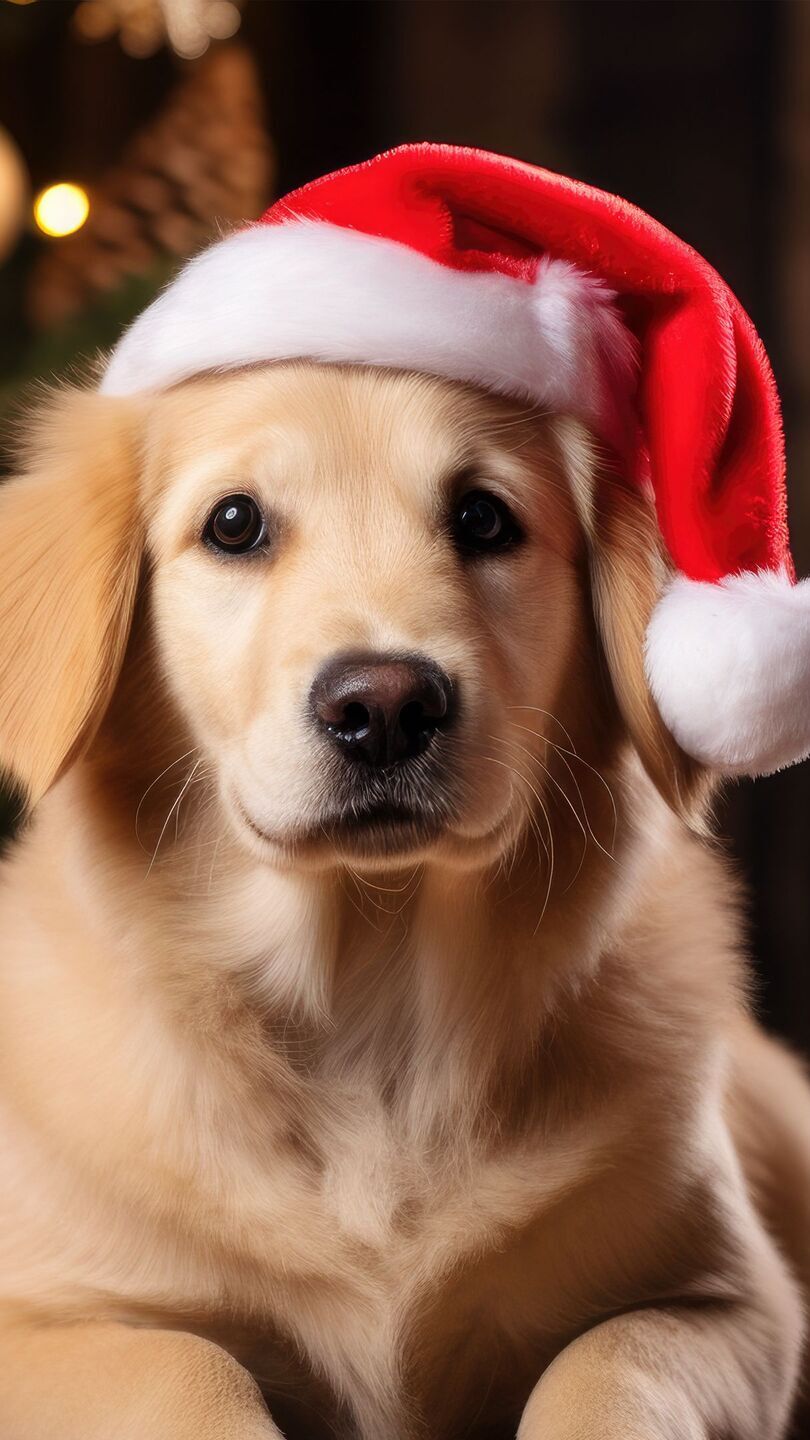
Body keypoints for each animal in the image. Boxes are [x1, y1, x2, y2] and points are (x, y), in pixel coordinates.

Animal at [0, 360, 801, 1440]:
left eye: (484, 517)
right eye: (234, 524)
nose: (383, 707)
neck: (369, 997)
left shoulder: (736, 1301)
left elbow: (609, 1364)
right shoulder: (39, 1314)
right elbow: (183, 1360)